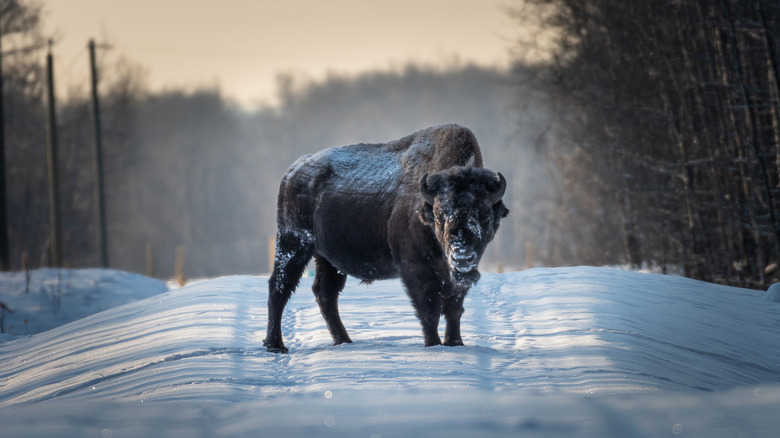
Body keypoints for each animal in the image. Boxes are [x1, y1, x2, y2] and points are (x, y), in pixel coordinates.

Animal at [264, 124, 509, 353]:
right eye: (440, 216)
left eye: (485, 215)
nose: (462, 256)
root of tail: (293, 171)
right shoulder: (415, 269)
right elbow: (429, 309)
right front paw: (433, 345)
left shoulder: (456, 276)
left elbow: (454, 309)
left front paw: (455, 344)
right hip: (293, 243)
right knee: (280, 288)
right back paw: (276, 345)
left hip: (328, 259)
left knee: (325, 293)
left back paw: (344, 341)